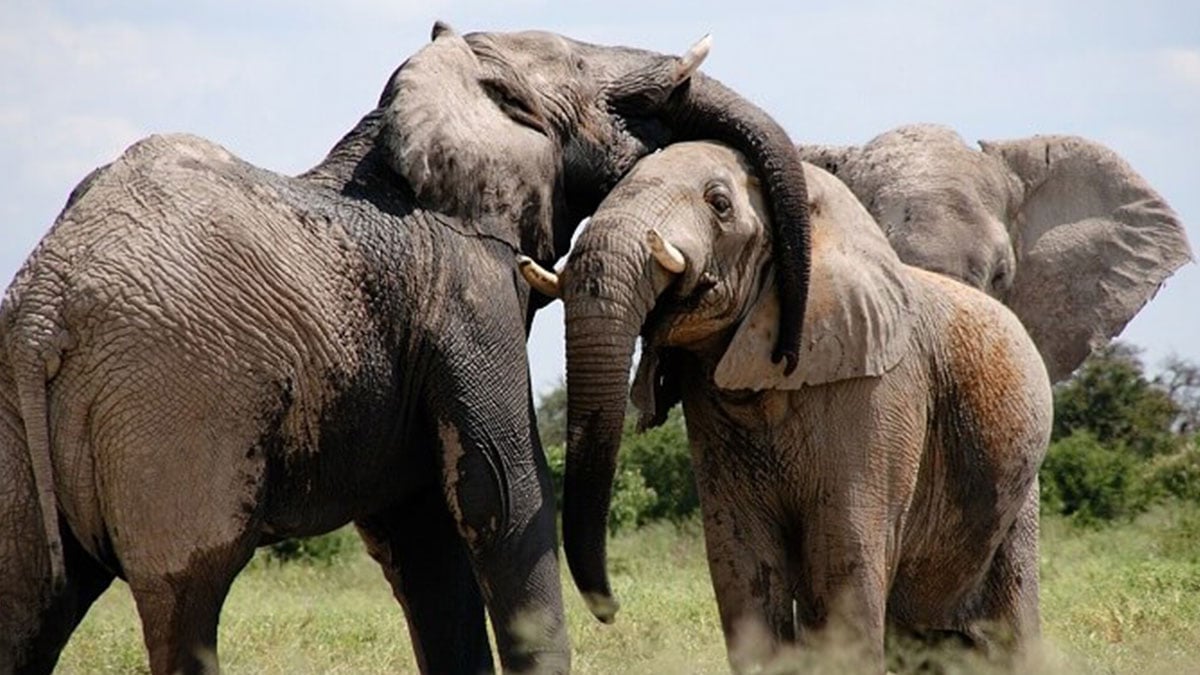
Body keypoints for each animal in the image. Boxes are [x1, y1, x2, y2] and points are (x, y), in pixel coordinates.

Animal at [0, 22, 816, 672]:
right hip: (174, 405)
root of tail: (45, 306)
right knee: (187, 601)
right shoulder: (465, 286)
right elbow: (503, 492)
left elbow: (425, 536)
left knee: (30, 604)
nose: (785, 354)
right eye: (589, 73)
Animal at [520, 140, 1056, 667]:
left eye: (720, 204)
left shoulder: (880, 393)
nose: (610, 611)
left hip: (1019, 491)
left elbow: (844, 559)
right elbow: (741, 563)